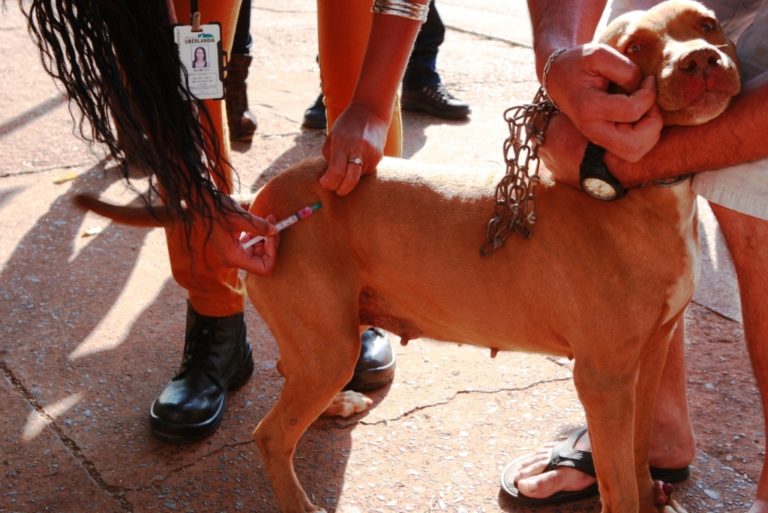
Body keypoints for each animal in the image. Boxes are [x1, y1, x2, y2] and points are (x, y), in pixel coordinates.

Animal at [75, 2, 740, 510]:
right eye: (633, 49)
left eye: (708, 23)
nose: (702, 61)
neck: (642, 196)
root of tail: (261, 199)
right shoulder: (603, 377)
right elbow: (618, 480)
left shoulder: (649, 354)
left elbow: (636, 459)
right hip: (328, 342)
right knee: (270, 435)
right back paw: (299, 498)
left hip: (323, 335)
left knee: (290, 378)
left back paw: (336, 405)